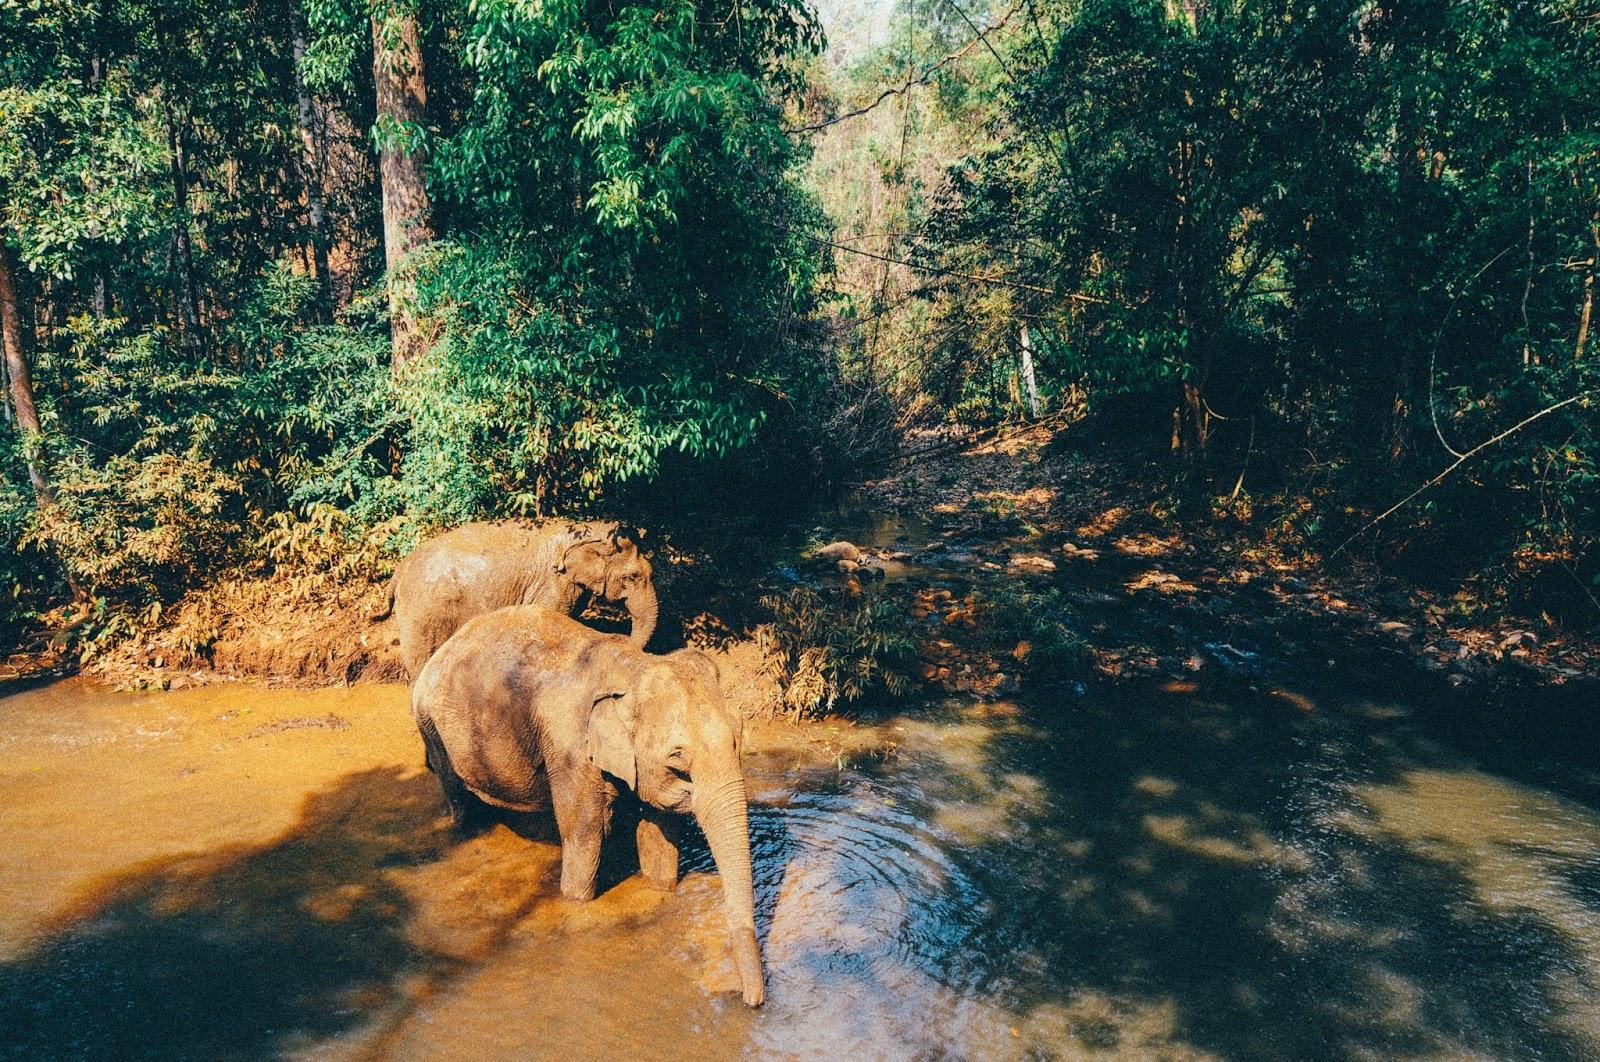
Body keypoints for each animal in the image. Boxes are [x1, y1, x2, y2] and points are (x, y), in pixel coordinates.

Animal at [411, 605, 765, 1007]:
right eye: (678, 758)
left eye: (740, 733)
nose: (749, 1001)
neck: (632, 667)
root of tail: (446, 646)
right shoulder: (570, 750)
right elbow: (585, 833)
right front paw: (576, 901)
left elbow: (658, 836)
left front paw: (660, 887)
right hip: (431, 725)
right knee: (458, 797)